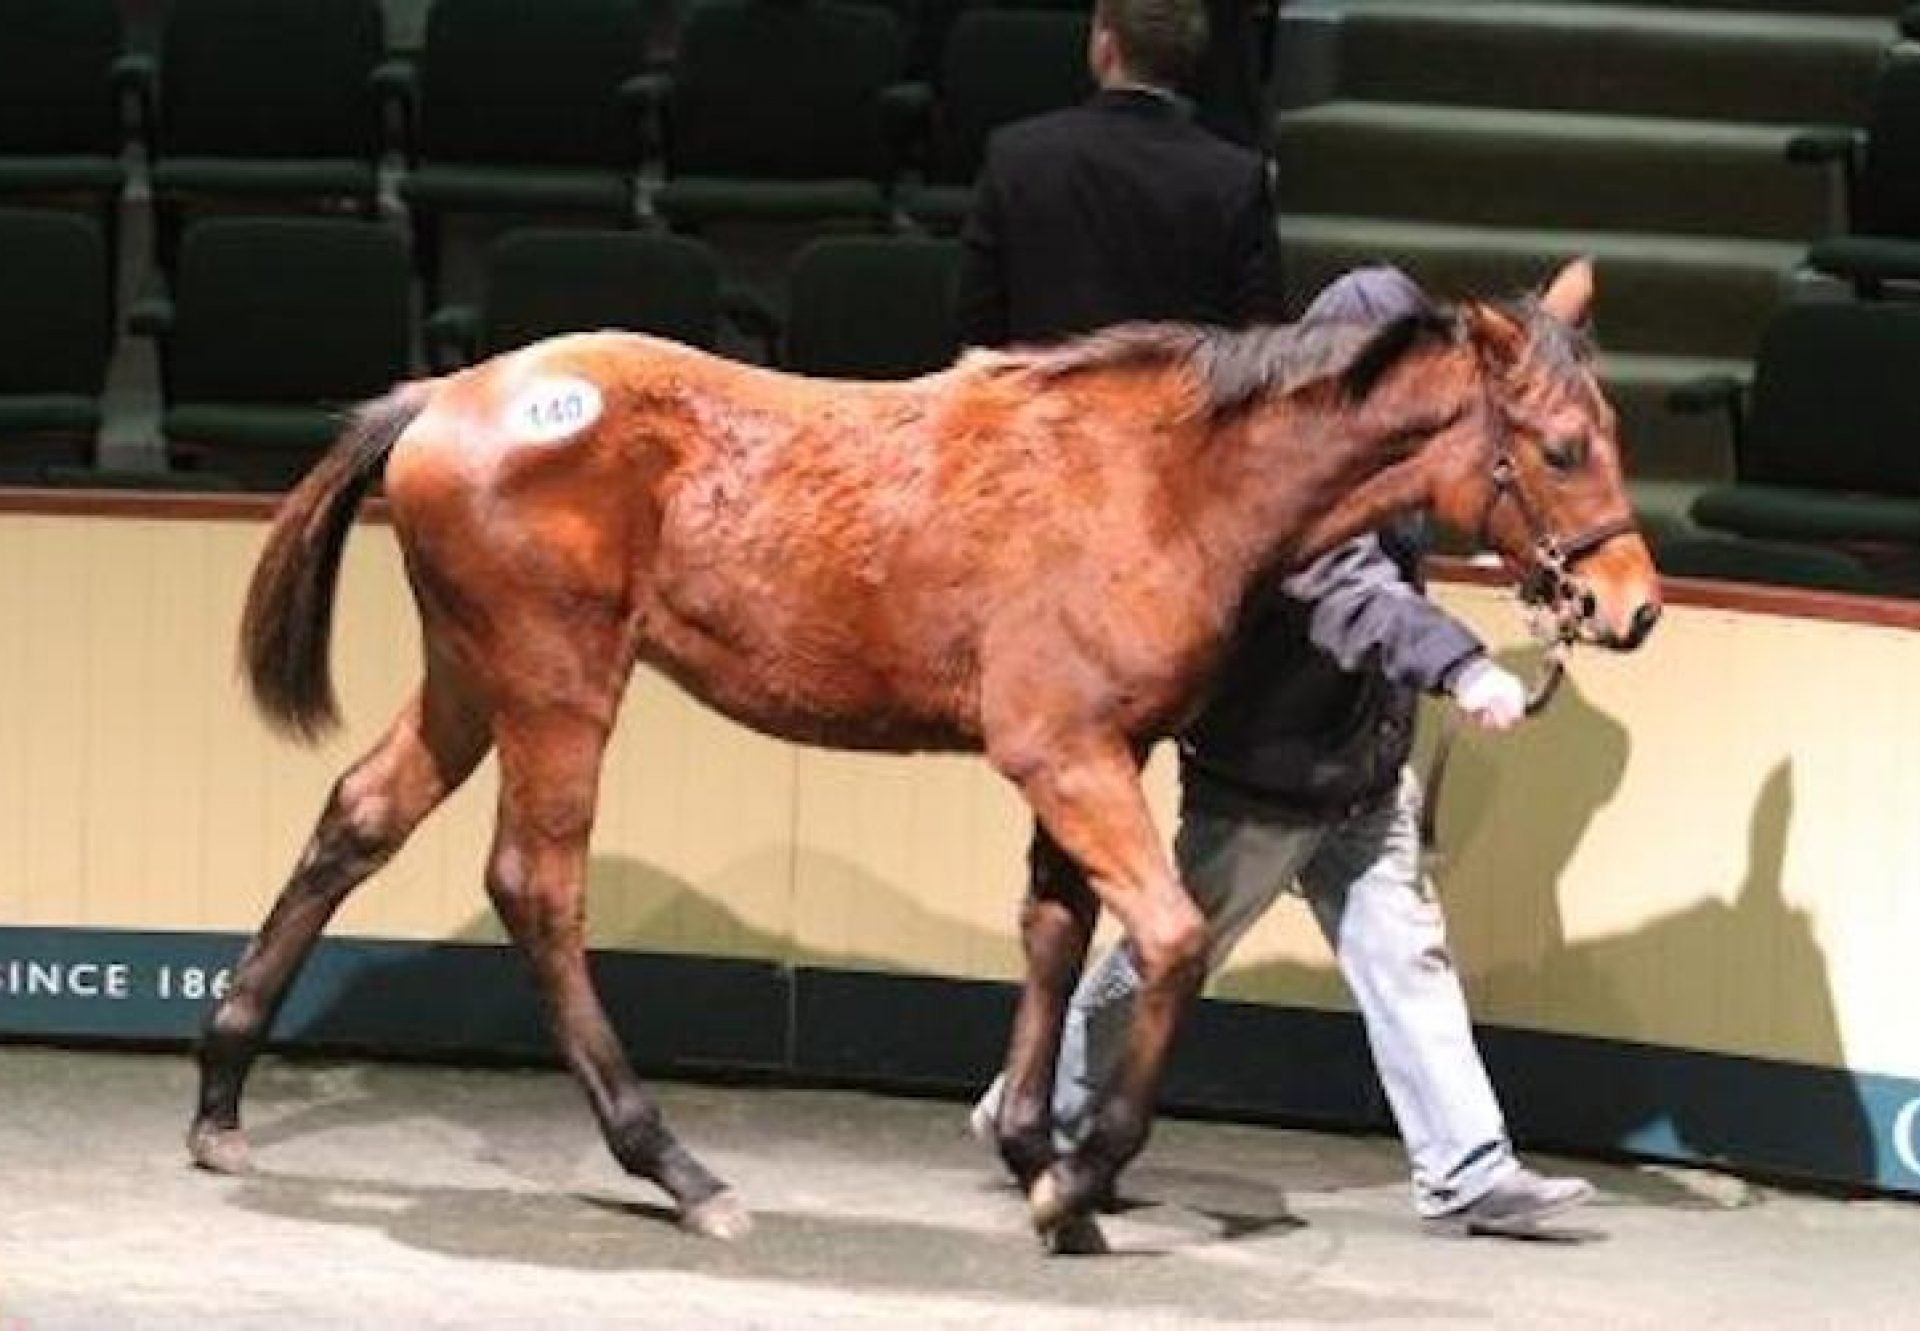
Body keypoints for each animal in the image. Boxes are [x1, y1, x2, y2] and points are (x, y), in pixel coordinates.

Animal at [187, 258, 1660, 1252]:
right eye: (1562, 446)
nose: (1631, 606)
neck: (1162, 481)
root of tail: (447, 395)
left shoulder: (1091, 754)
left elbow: (1059, 935)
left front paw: (1032, 1148)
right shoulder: (1064, 752)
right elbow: (1170, 935)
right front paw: (1077, 1174)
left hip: (470, 678)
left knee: (358, 815)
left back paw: (220, 1089)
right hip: (556, 686)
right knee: (535, 886)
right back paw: (676, 1165)